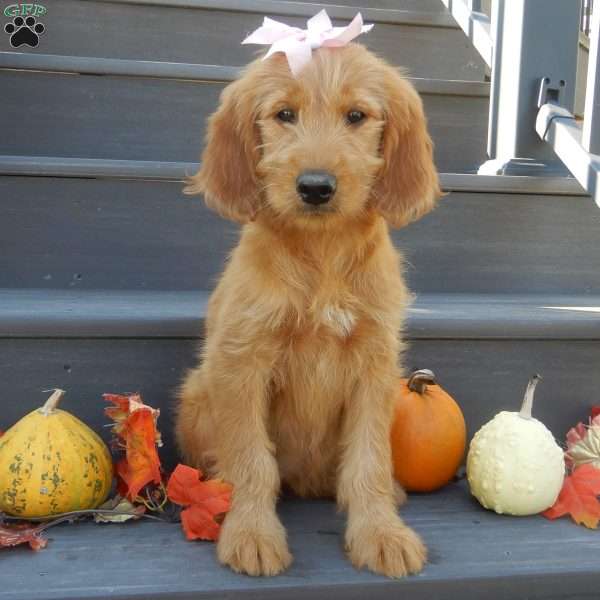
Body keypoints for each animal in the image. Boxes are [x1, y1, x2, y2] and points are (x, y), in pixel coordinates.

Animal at [173, 42, 440, 576]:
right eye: (284, 115)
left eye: (356, 116)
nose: (315, 187)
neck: (322, 254)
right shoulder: (242, 361)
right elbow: (251, 460)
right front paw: (252, 532)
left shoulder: (375, 366)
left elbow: (368, 460)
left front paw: (381, 532)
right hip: (196, 393)